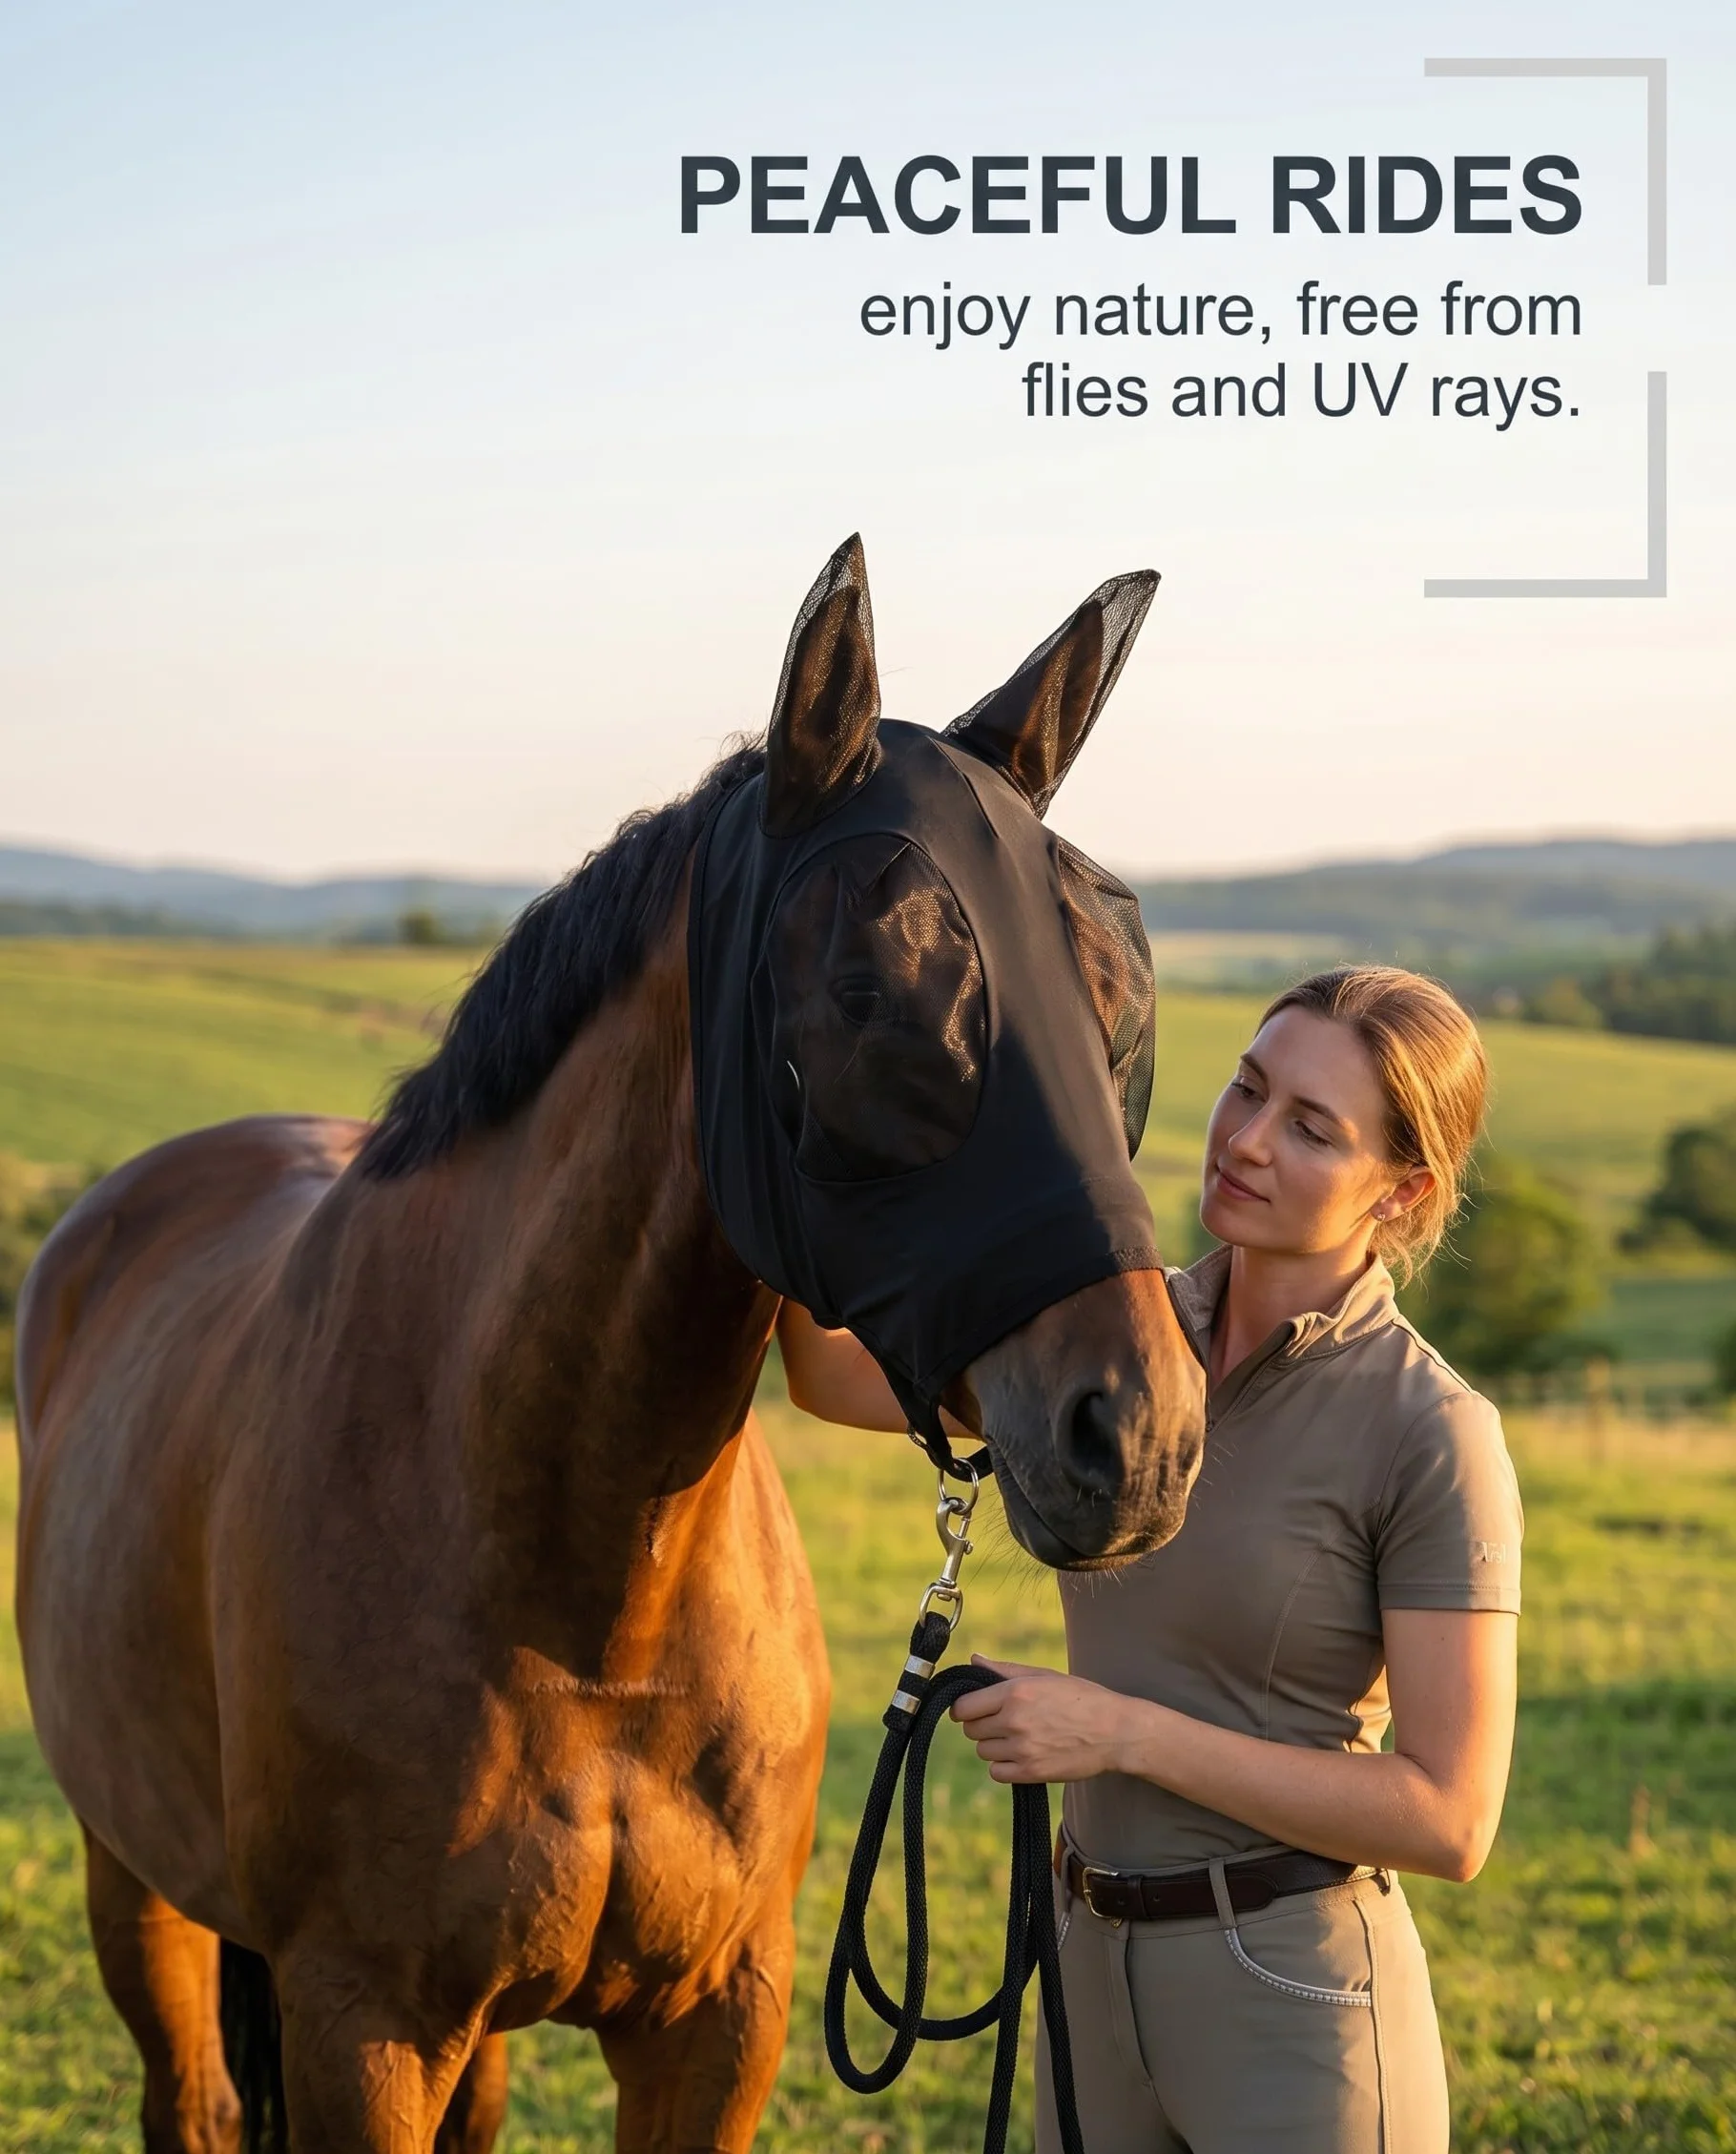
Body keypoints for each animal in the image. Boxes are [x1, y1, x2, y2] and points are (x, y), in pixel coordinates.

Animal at [13, 536, 1206, 2153]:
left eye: (1123, 1002)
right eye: (867, 997)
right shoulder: (359, 2027)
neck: (583, 1611)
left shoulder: (716, 2023)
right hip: (133, 1879)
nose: (1140, 1434)